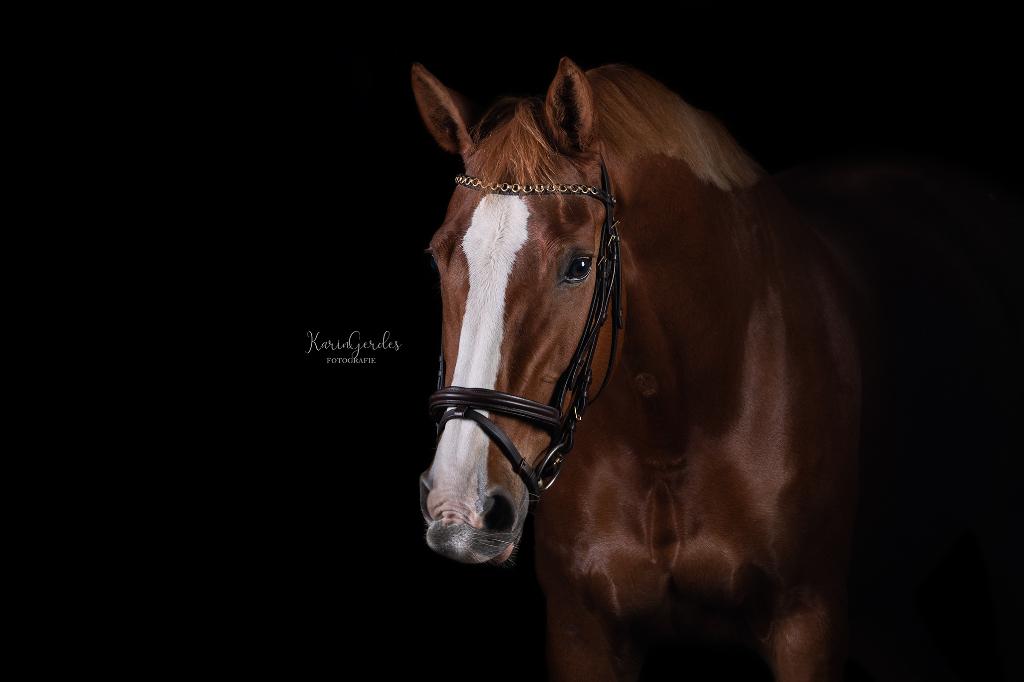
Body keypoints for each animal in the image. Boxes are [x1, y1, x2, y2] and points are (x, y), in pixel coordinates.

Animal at [413, 58, 1020, 680]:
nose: (459, 506)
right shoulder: (581, 632)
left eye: (578, 266)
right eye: (436, 258)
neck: (674, 426)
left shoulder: (806, 623)